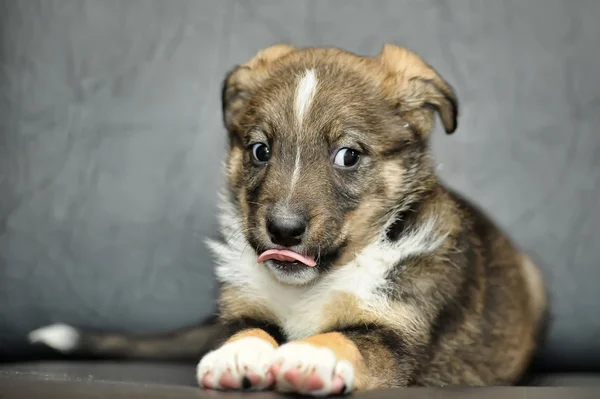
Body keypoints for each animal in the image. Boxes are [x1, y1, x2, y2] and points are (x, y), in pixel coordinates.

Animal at [31, 44, 548, 396]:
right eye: (260, 150)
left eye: (348, 155)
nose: (282, 230)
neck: (317, 282)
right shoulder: (244, 307)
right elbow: (249, 328)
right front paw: (238, 356)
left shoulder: (398, 335)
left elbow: (349, 338)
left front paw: (312, 357)